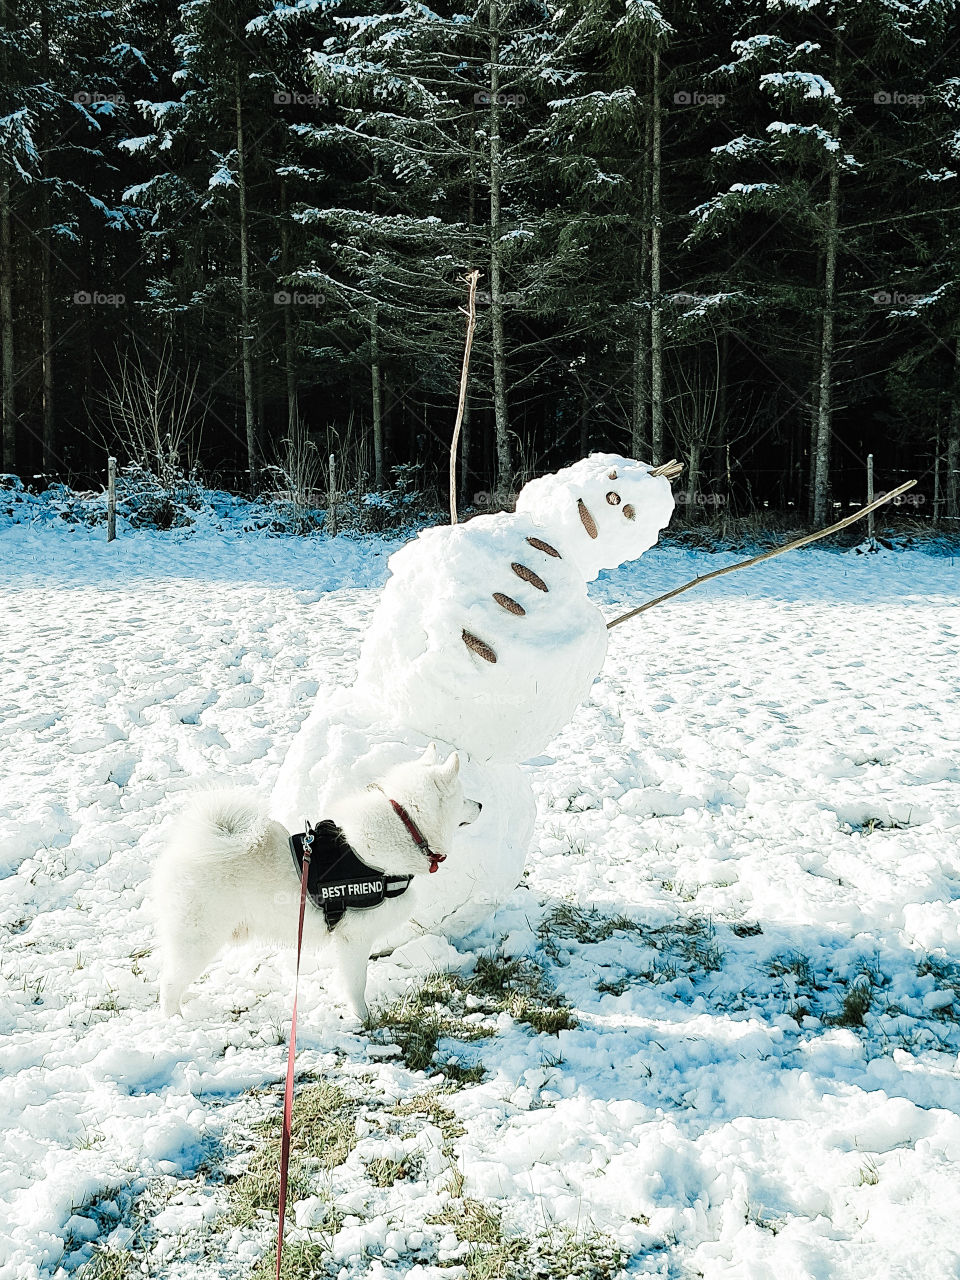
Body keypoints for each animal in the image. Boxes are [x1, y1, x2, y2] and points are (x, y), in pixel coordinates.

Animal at [154, 747, 481, 1024]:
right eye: (464, 797)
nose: (480, 803)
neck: (406, 824)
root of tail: (186, 850)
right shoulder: (355, 937)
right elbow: (357, 983)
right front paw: (364, 1018)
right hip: (199, 939)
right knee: (168, 982)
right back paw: (174, 1020)